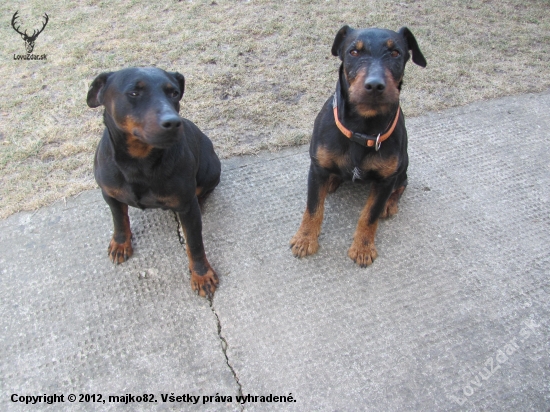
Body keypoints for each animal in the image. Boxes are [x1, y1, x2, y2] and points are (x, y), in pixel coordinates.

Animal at [87, 68, 221, 300]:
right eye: (134, 93)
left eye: (174, 92)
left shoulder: (187, 206)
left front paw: (201, 275)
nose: (173, 122)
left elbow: (195, 244)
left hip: (211, 169)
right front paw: (121, 244)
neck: (139, 161)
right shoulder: (110, 194)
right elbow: (119, 219)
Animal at [292, 25, 430, 268]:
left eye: (395, 53)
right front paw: (305, 239)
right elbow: (313, 207)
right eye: (353, 52)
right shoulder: (316, 169)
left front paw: (363, 247)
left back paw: (390, 204)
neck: (362, 129)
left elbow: (370, 215)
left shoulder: (385, 181)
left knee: (403, 184)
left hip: (402, 166)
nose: (374, 85)